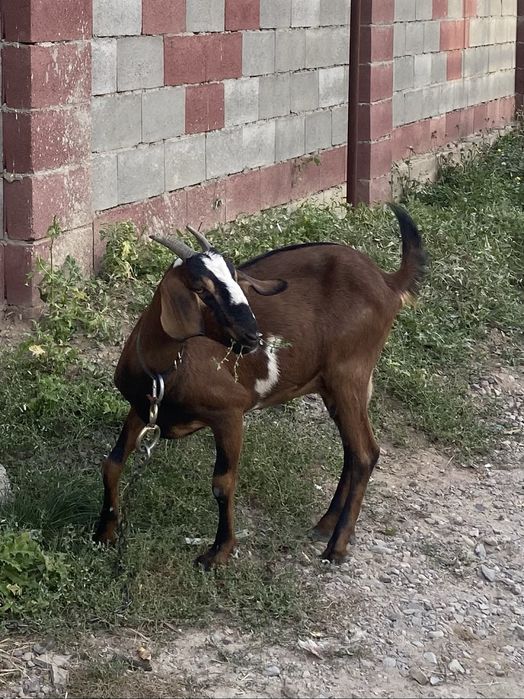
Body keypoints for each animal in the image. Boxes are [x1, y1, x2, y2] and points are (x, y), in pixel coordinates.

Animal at [94, 205, 426, 569]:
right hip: (333, 385)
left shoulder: (229, 413)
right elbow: (112, 463)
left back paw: (336, 547)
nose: (253, 336)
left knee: (365, 452)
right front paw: (104, 532)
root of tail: (386, 281)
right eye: (200, 287)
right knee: (354, 452)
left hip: (349, 374)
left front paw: (218, 552)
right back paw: (324, 526)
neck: (164, 370)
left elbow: (223, 483)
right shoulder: (142, 407)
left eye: (236, 278)